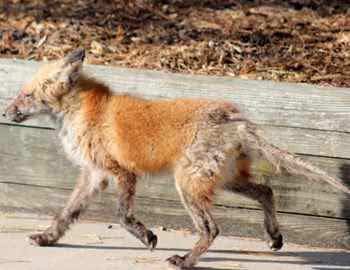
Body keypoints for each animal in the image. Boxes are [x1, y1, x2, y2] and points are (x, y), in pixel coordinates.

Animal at [2, 49, 350, 270]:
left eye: (27, 95)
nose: (5, 112)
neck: (83, 112)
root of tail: (233, 117)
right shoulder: (94, 175)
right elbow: (66, 213)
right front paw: (47, 238)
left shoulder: (122, 173)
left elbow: (123, 215)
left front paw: (147, 236)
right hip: (223, 180)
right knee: (266, 191)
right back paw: (274, 237)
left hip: (187, 186)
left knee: (212, 229)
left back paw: (186, 261)